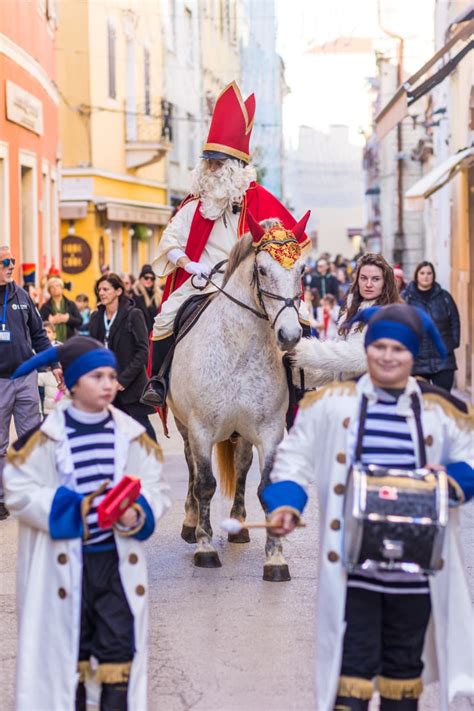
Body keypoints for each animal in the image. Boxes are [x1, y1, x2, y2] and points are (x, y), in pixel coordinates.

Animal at [168, 214, 310, 580]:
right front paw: (204, 547)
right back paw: (190, 522)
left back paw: (239, 526)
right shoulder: (201, 429)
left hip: (242, 432)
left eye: (302, 269)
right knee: (191, 468)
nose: (290, 334)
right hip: (183, 425)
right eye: (262, 270)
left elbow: (266, 488)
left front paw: (275, 559)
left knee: (243, 468)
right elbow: (205, 483)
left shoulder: (270, 430)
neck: (240, 351)